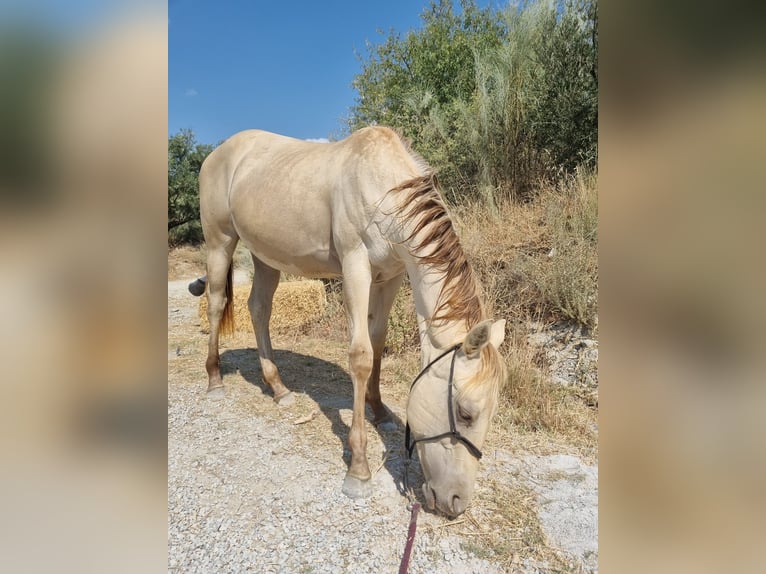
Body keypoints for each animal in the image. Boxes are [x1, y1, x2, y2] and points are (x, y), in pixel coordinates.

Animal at [190, 126, 506, 517]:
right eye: (465, 413)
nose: (456, 501)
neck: (383, 191)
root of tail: (218, 152)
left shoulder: (391, 277)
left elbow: (378, 343)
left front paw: (379, 410)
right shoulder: (356, 268)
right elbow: (361, 356)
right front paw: (359, 469)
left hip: (265, 255)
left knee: (260, 309)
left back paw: (278, 388)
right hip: (219, 242)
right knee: (216, 304)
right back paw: (215, 379)